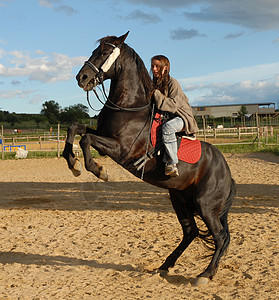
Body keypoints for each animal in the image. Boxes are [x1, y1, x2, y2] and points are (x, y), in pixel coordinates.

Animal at [62, 31, 235, 284]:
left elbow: (85, 140)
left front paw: (98, 170)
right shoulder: (102, 136)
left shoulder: (120, 149)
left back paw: (206, 274)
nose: (81, 77)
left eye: (104, 52)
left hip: (205, 204)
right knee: (191, 232)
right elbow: (75, 128)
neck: (128, 107)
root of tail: (227, 173)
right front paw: (72, 163)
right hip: (179, 199)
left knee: (220, 237)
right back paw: (165, 265)